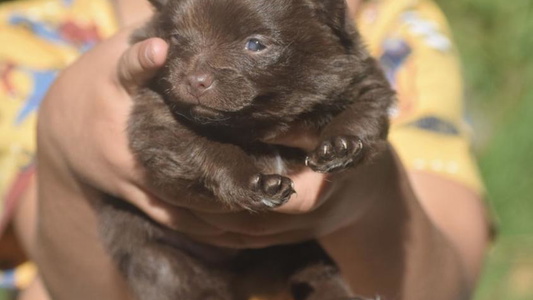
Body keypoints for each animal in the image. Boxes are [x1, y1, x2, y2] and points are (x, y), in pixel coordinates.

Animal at [97, 0, 392, 298]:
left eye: (255, 44)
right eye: (175, 38)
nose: (195, 80)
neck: (257, 122)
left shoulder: (361, 78)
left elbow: (364, 110)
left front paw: (340, 146)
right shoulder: (156, 116)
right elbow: (205, 147)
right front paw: (255, 183)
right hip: (159, 255)